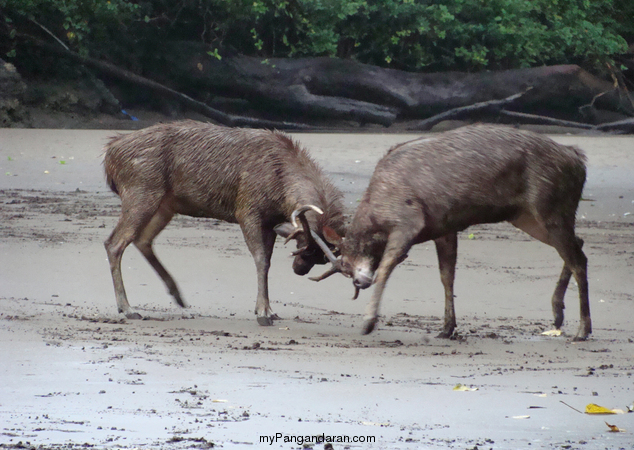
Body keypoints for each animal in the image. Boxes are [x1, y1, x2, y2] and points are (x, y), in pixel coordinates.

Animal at [102, 119, 346, 324]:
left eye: (320, 258)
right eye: (304, 247)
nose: (299, 270)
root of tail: (109, 154)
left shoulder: (270, 221)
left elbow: (267, 260)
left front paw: (267, 309)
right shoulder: (247, 208)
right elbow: (261, 259)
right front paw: (263, 312)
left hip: (166, 204)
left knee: (142, 239)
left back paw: (178, 297)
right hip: (140, 190)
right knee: (115, 242)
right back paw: (127, 308)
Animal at [314, 123, 592, 342]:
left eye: (347, 260)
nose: (359, 282)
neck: (377, 211)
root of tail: (579, 160)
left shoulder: (408, 220)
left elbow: (385, 268)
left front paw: (368, 321)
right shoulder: (443, 228)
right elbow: (447, 276)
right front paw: (447, 328)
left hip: (550, 207)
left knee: (578, 259)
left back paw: (582, 330)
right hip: (525, 217)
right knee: (578, 243)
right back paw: (558, 314)